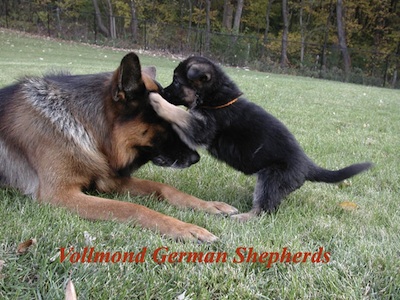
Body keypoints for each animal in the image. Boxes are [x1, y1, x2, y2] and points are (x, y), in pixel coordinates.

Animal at [0, 52, 238, 243]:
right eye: (166, 123)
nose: (196, 158)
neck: (83, 125)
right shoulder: (60, 195)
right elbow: (131, 207)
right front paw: (184, 227)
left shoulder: (107, 179)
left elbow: (164, 188)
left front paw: (209, 205)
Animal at [150, 55, 372, 220]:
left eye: (176, 82)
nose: (162, 90)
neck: (217, 98)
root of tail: (308, 166)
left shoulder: (202, 128)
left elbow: (179, 113)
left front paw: (155, 99)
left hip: (271, 178)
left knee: (264, 210)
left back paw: (243, 216)